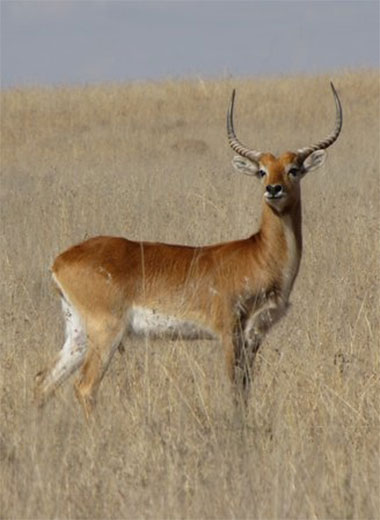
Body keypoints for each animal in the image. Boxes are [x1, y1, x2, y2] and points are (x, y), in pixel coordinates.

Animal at [35, 84, 342, 418]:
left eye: (294, 169)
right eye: (262, 171)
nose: (274, 189)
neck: (260, 256)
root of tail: (60, 260)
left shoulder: (256, 335)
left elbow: (246, 389)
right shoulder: (229, 332)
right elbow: (235, 390)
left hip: (78, 333)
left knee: (44, 381)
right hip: (106, 332)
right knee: (84, 387)